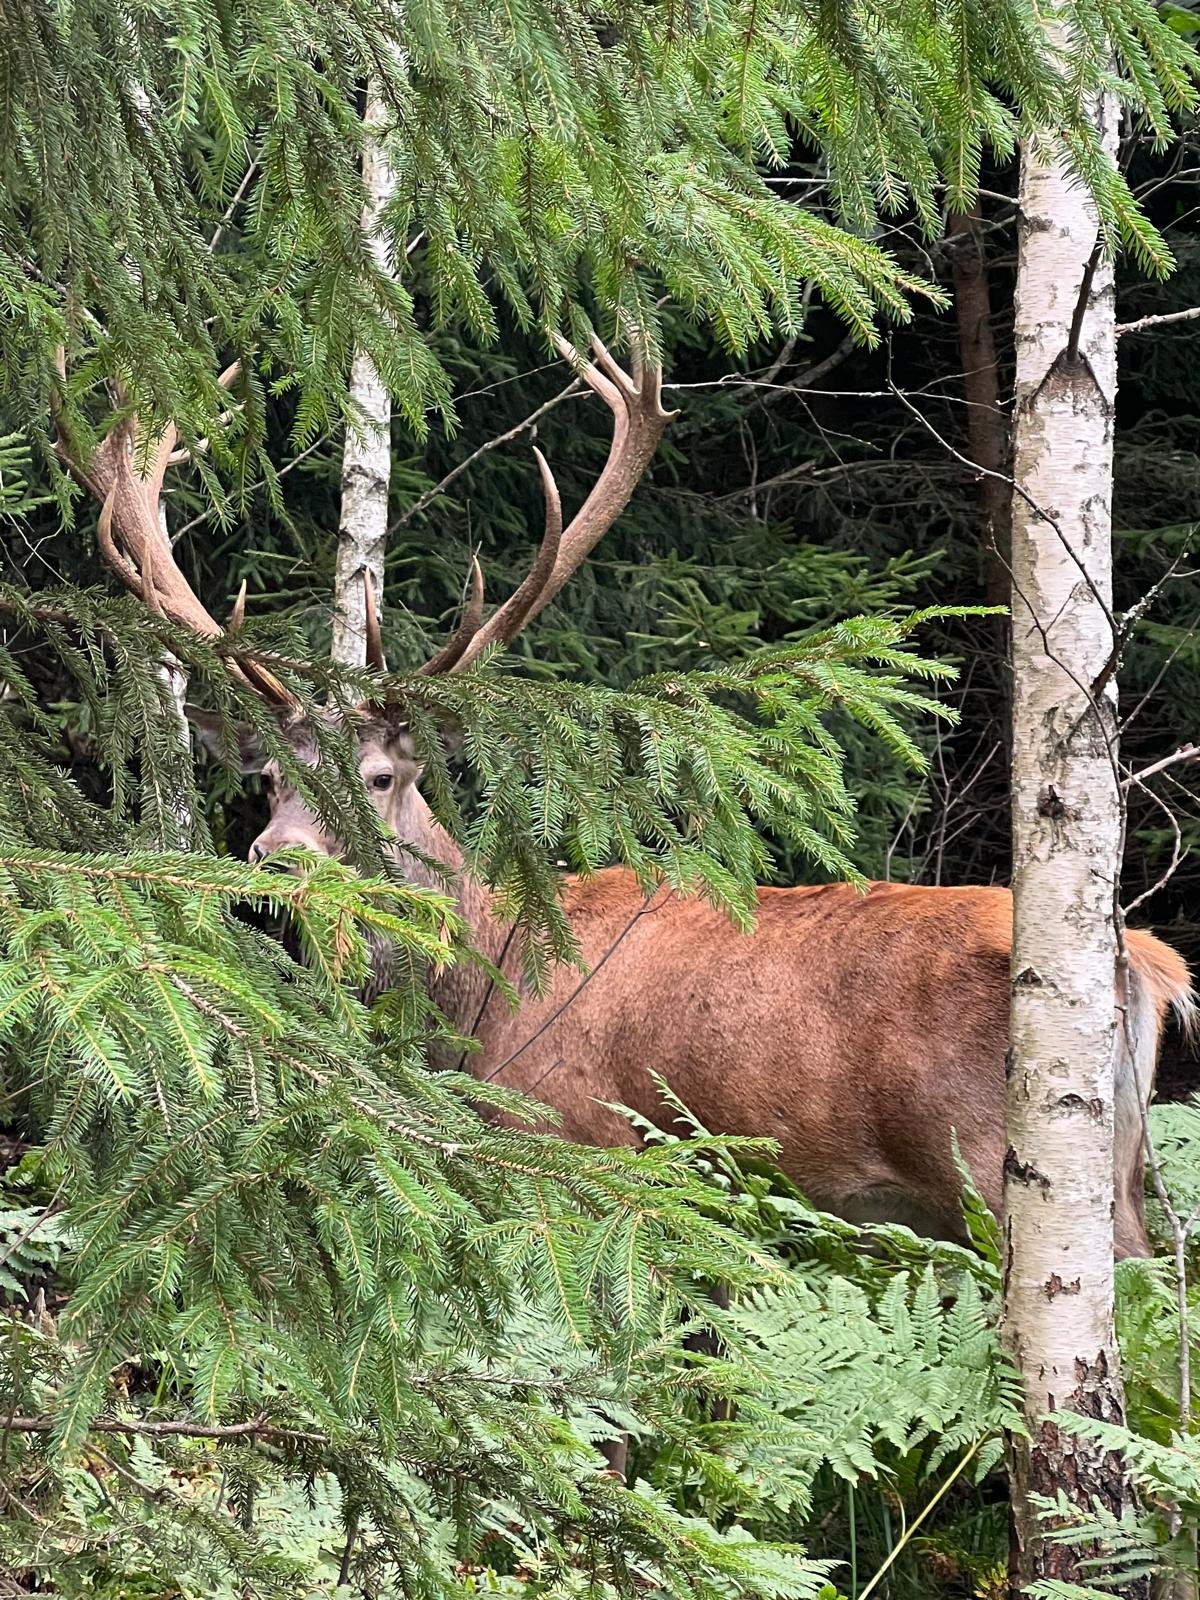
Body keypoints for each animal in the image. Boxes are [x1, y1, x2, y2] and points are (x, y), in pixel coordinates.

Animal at [55, 338, 1195, 1264]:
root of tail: (1148, 962)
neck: (474, 998)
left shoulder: (579, 1140)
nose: (277, 859)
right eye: (270, 782)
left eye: (378, 778)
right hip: (1113, 1172)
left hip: (1011, 1160)